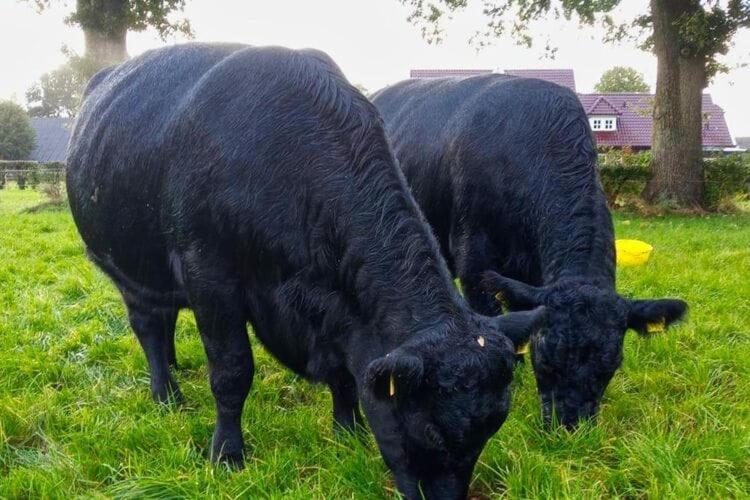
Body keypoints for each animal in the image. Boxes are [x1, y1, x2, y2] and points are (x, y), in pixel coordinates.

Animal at [66, 45, 548, 498]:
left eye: (492, 429)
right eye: (431, 431)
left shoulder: (336, 312)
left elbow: (345, 376)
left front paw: (348, 433)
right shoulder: (209, 274)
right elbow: (232, 370)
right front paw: (227, 454)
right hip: (128, 266)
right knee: (148, 325)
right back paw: (166, 394)